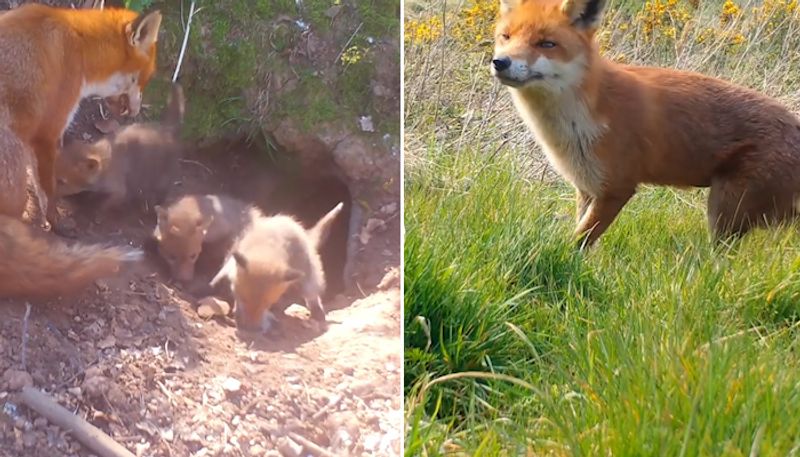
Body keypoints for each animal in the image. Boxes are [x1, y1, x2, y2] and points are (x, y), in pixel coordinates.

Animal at [209, 202, 344, 332]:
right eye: (242, 298)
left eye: (267, 304)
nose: (251, 329)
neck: (266, 247)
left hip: (307, 273)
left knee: (312, 293)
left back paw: (317, 312)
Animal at [490, 0, 800, 246]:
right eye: (506, 37)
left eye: (546, 44)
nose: (500, 62)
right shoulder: (587, 186)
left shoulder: (616, 188)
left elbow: (577, 243)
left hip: (723, 213)